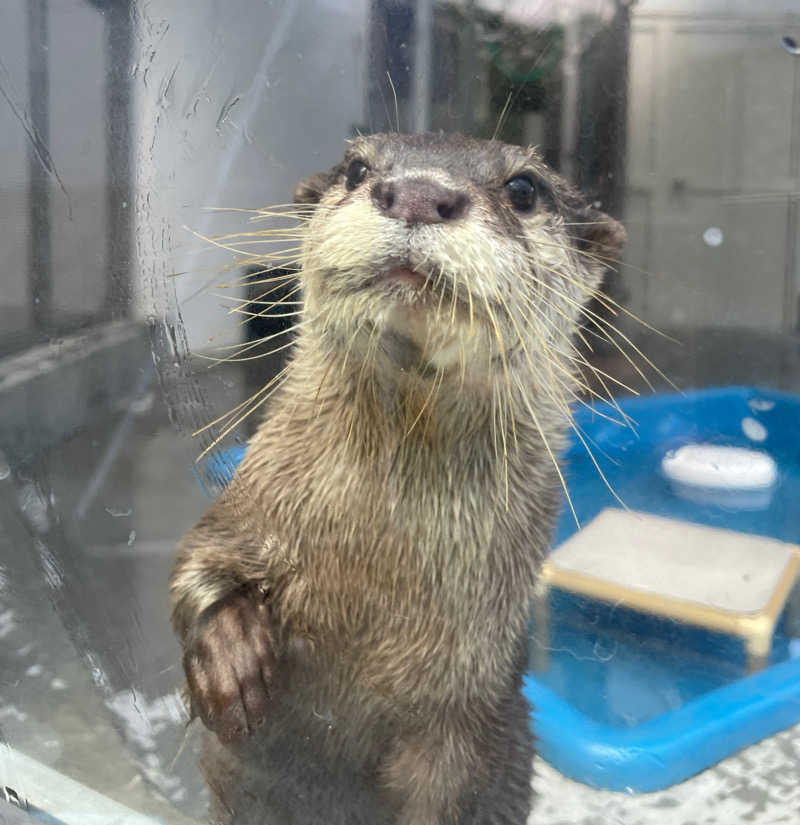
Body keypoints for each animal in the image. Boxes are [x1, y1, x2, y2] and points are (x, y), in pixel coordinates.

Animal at [173, 132, 624, 820]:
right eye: (358, 168)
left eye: (524, 189)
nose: (416, 192)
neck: (372, 573)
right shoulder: (244, 510)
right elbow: (194, 565)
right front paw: (229, 659)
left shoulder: (471, 703)